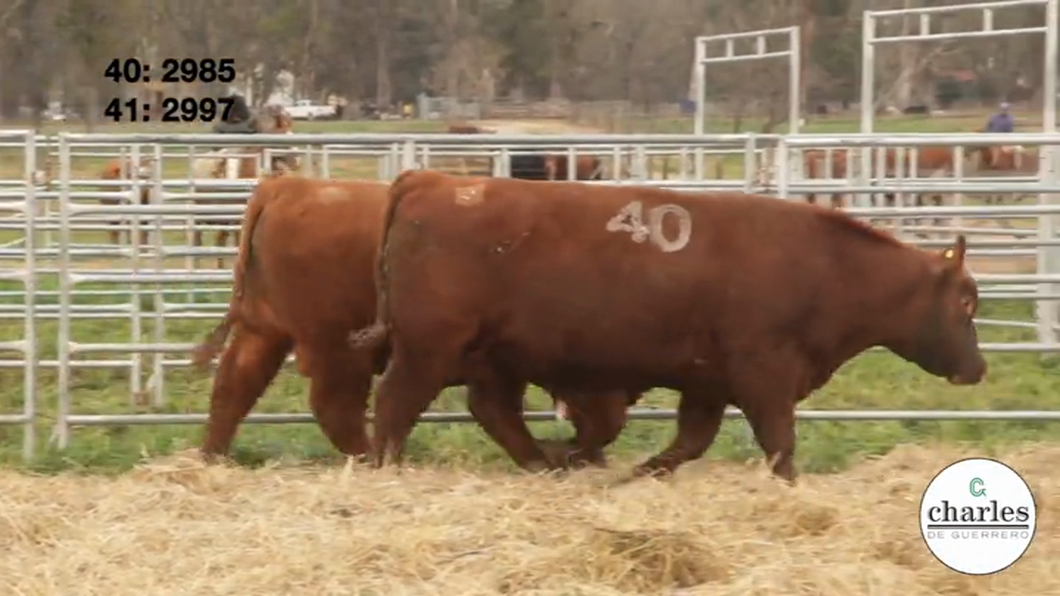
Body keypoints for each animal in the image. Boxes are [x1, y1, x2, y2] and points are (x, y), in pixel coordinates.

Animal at [188, 173, 635, 462]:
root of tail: (291, 186)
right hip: (336, 349)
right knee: (335, 407)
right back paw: (369, 458)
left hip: (264, 332)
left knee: (233, 387)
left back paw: (212, 458)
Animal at [351, 168, 987, 483]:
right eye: (966, 302)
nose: (977, 368)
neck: (829, 266)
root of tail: (431, 179)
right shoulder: (765, 375)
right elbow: (779, 444)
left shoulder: (708, 383)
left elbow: (690, 442)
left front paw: (637, 471)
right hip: (430, 350)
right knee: (396, 405)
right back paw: (388, 469)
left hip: (493, 356)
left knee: (495, 412)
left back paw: (548, 461)